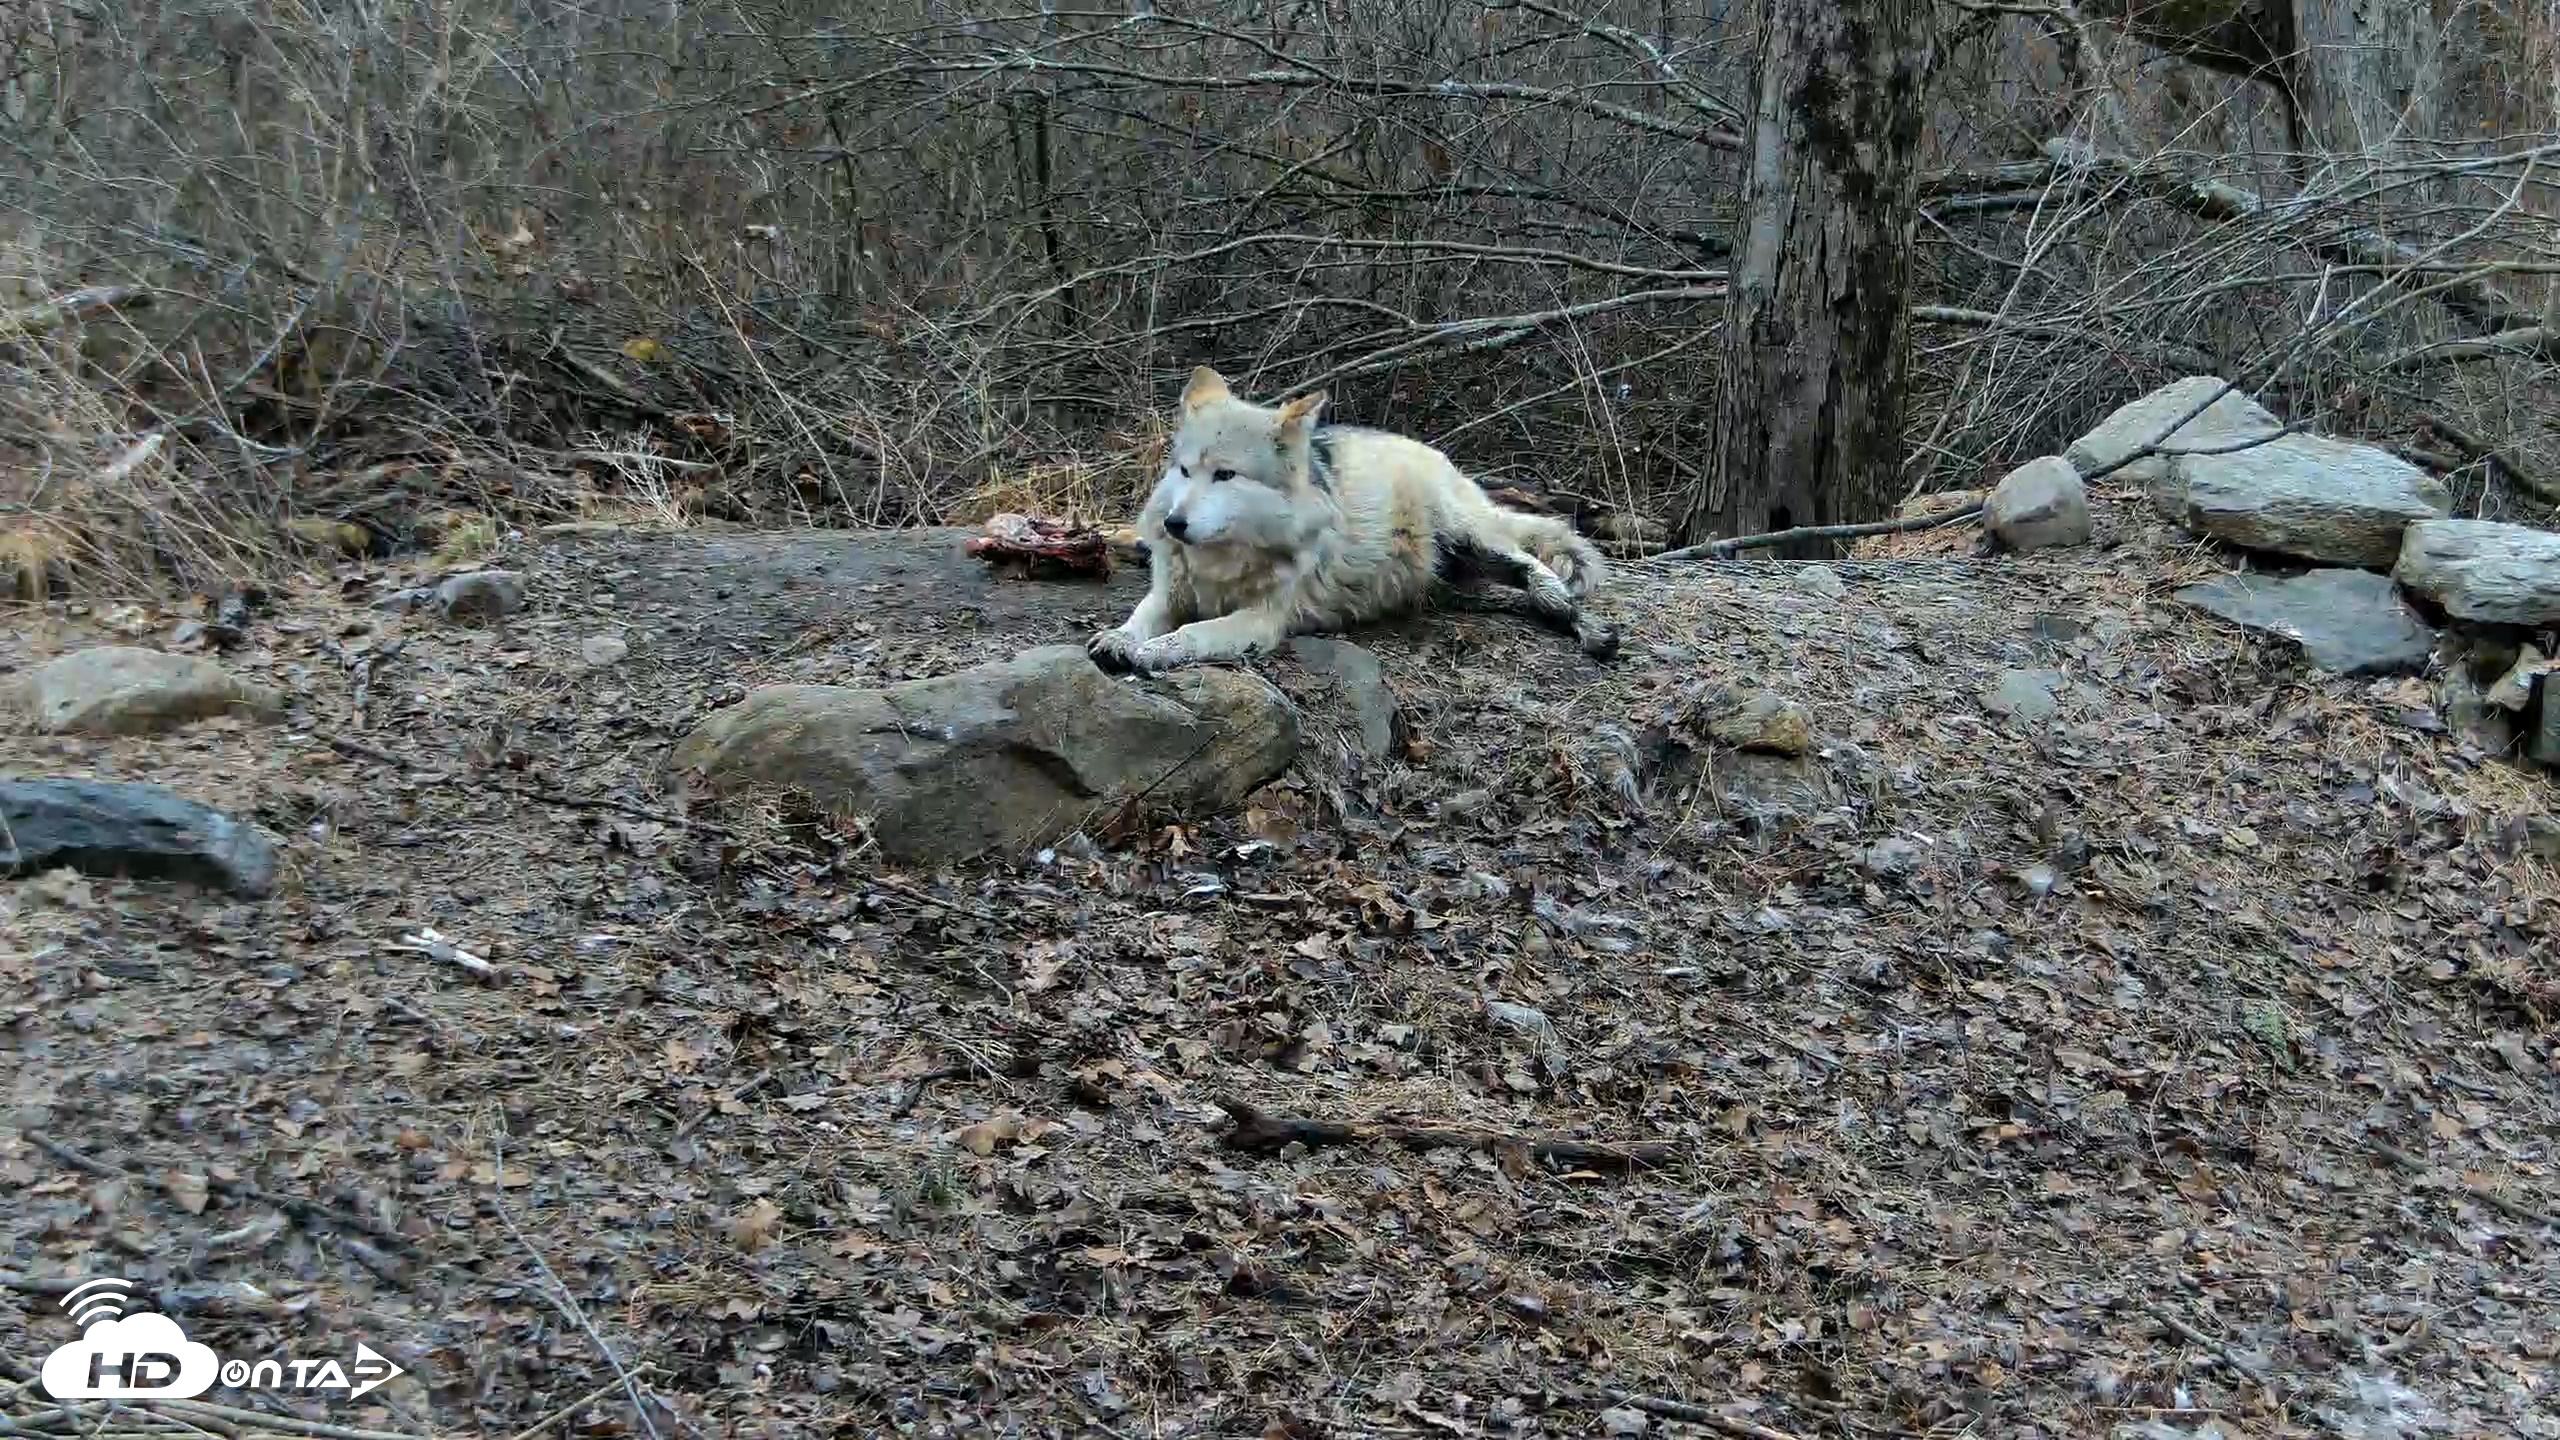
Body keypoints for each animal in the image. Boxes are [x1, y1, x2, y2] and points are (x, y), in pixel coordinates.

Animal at [1087, 367, 1618, 675]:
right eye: (1184, 471)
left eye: (1225, 475)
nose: (1174, 525)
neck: (1226, 558)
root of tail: (1439, 455)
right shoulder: (1170, 594)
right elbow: (1141, 618)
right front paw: (1121, 639)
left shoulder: (1261, 620)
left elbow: (1191, 634)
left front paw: (1152, 652)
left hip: (1470, 536)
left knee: (1537, 569)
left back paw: (1582, 621)